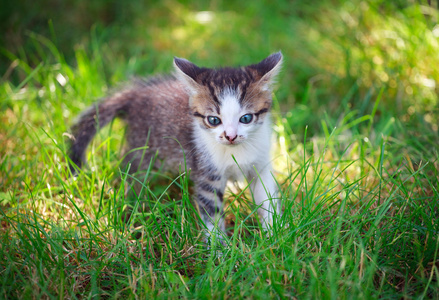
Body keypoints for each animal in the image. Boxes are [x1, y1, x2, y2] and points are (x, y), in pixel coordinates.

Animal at [69, 52, 282, 241]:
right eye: (213, 120)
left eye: (246, 118)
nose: (230, 136)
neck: (236, 151)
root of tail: (135, 94)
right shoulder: (206, 171)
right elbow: (211, 211)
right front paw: (219, 249)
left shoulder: (261, 164)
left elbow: (267, 197)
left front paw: (274, 234)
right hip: (141, 150)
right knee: (131, 174)